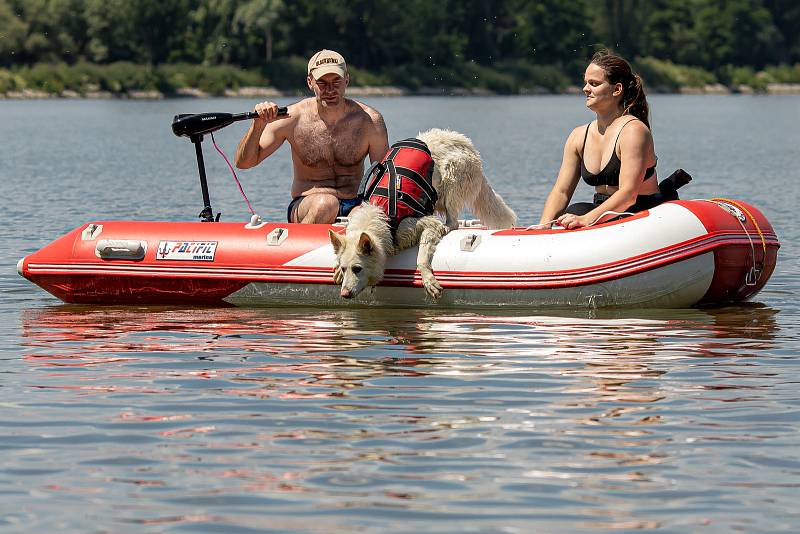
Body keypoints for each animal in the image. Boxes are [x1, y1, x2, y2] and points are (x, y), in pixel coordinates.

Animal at [328, 127, 516, 300]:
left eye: (357, 269)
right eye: (345, 268)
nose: (344, 294)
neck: (382, 214)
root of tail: (465, 142)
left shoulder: (423, 224)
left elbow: (421, 256)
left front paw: (428, 279)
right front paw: (336, 269)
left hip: (452, 179)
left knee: (453, 221)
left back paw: (447, 227)